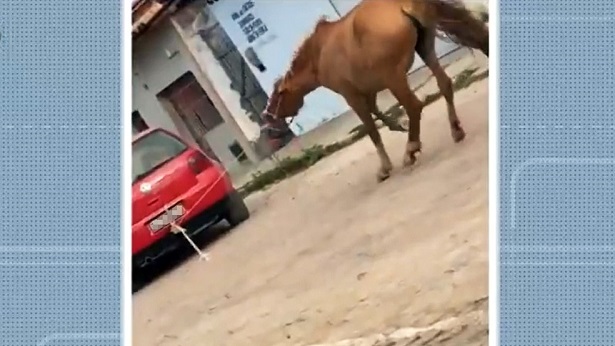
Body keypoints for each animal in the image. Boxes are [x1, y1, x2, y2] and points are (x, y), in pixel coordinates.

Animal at [264, 0, 490, 182]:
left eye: (277, 96)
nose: (267, 119)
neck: (319, 53)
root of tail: (401, 5)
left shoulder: (351, 95)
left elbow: (372, 130)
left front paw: (385, 167)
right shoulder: (368, 88)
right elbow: (376, 110)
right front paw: (397, 125)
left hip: (394, 77)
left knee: (414, 106)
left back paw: (411, 149)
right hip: (425, 49)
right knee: (445, 85)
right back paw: (455, 130)